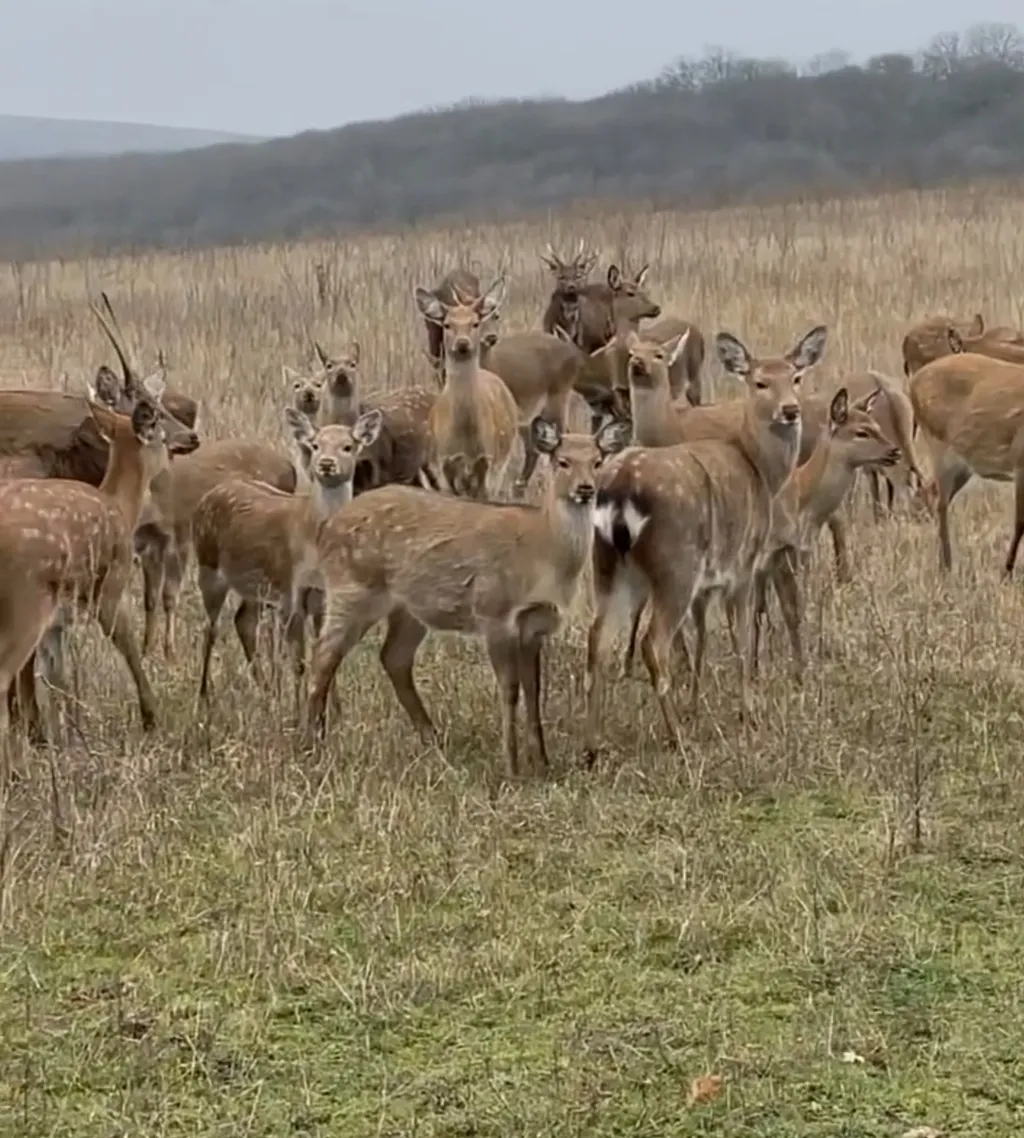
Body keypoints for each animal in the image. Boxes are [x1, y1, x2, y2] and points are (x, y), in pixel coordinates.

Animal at [194, 405, 382, 696]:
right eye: (315, 445)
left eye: (348, 446)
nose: (326, 463)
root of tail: (208, 496)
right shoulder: (291, 592)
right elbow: (300, 663)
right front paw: (296, 707)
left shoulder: (322, 597)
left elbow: (325, 660)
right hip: (208, 565)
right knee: (210, 628)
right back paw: (204, 696)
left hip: (257, 585)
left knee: (243, 620)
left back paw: (266, 690)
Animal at [300, 414, 628, 778]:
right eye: (563, 461)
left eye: (597, 462)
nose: (585, 489)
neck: (544, 553)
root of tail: (328, 527)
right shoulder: (494, 611)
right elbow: (510, 690)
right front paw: (512, 767)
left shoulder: (536, 623)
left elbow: (534, 691)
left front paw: (542, 763)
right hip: (352, 588)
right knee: (323, 655)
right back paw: (314, 745)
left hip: (409, 608)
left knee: (393, 657)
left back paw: (432, 739)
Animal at [411, 273, 521, 500]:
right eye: (447, 324)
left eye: (475, 323)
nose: (462, 343)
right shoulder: (442, 465)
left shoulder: (488, 463)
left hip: (503, 460)